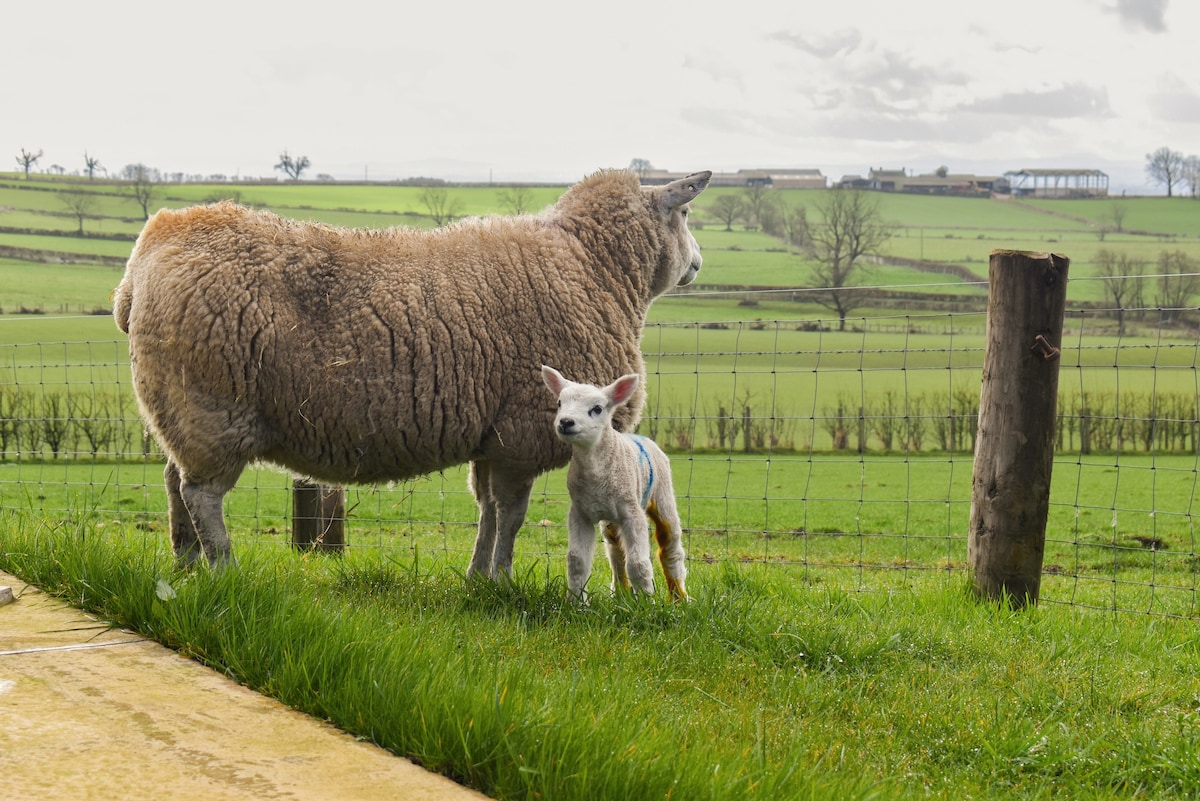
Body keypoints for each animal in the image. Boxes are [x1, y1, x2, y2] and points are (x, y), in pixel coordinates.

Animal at [110, 170, 710, 575]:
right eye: (684, 215)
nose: (700, 263)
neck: (596, 267)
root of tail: (148, 252)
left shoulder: (493, 437)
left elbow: (488, 511)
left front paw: (478, 578)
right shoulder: (519, 432)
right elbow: (511, 515)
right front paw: (502, 576)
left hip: (184, 409)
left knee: (174, 483)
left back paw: (188, 565)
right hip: (212, 406)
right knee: (202, 494)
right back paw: (224, 568)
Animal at [542, 364, 686, 599]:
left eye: (597, 409)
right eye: (559, 403)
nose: (565, 422)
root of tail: (639, 436)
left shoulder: (632, 513)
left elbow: (638, 563)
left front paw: (647, 602)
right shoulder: (580, 513)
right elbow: (577, 561)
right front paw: (575, 602)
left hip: (663, 495)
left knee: (670, 546)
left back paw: (679, 599)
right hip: (611, 518)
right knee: (616, 550)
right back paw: (621, 594)